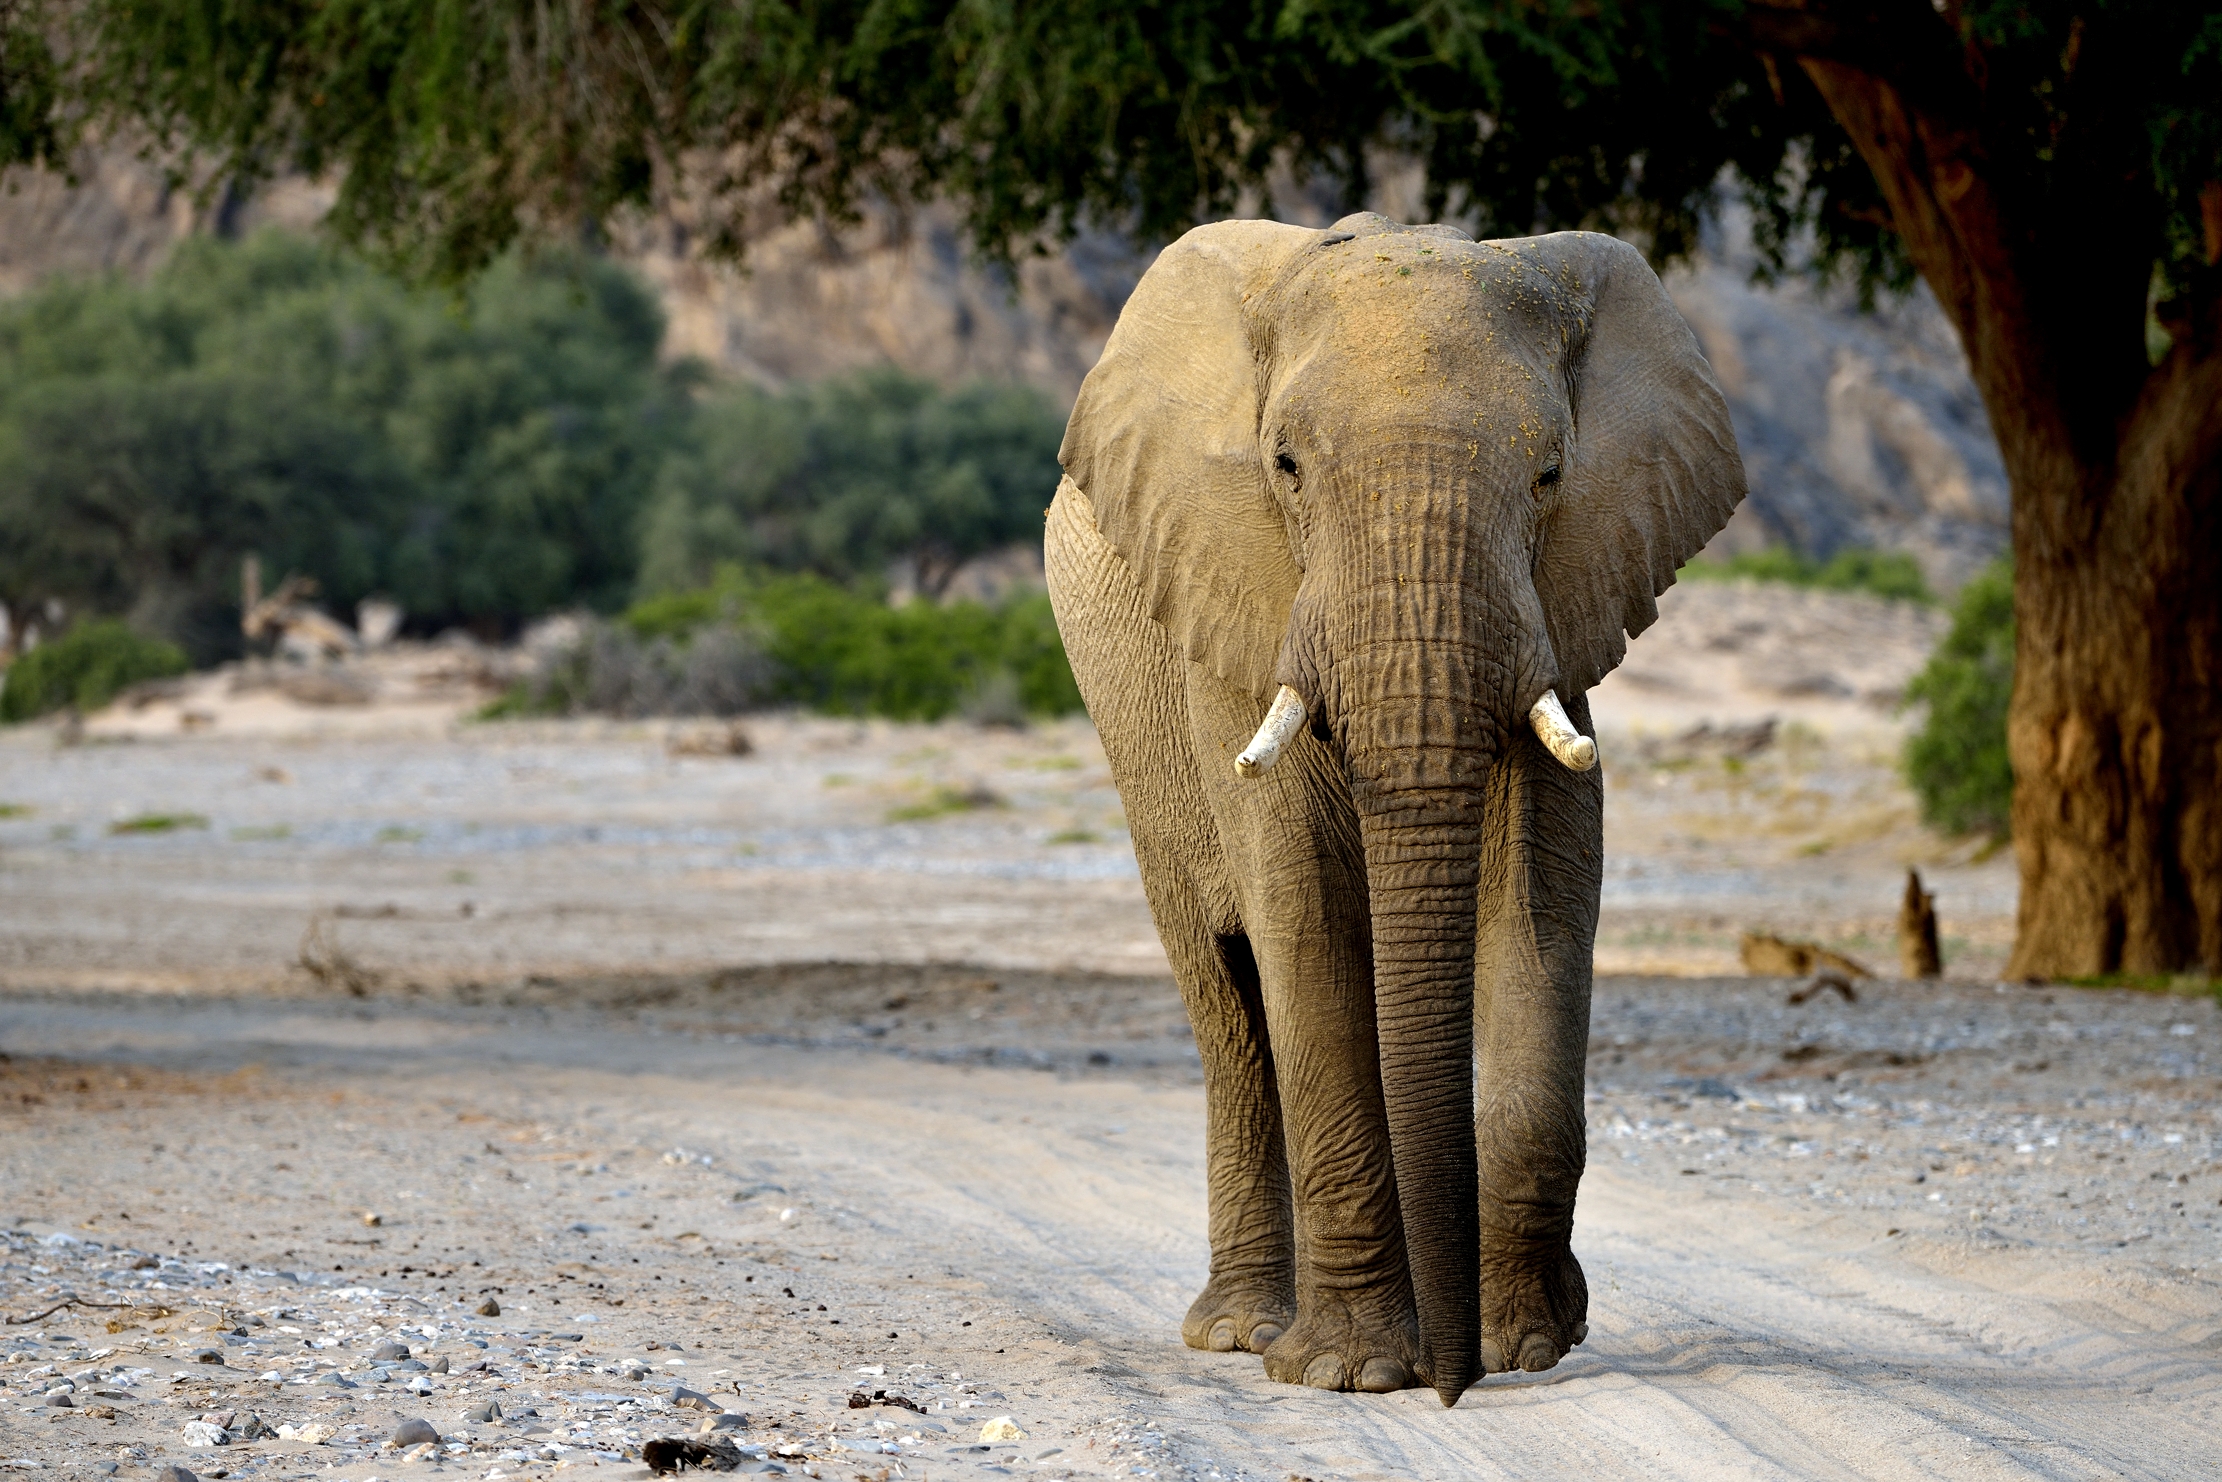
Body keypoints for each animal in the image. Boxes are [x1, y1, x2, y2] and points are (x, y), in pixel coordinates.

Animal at [1042, 212, 1744, 1406]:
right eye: (1283, 466)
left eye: (1550, 473)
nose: (1452, 1389)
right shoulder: (1236, 607)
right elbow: (1302, 912)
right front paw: (1354, 1373)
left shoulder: (1561, 603)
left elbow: (1546, 903)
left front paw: (1521, 1349)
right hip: (1137, 751)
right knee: (1230, 999)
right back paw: (1243, 1332)